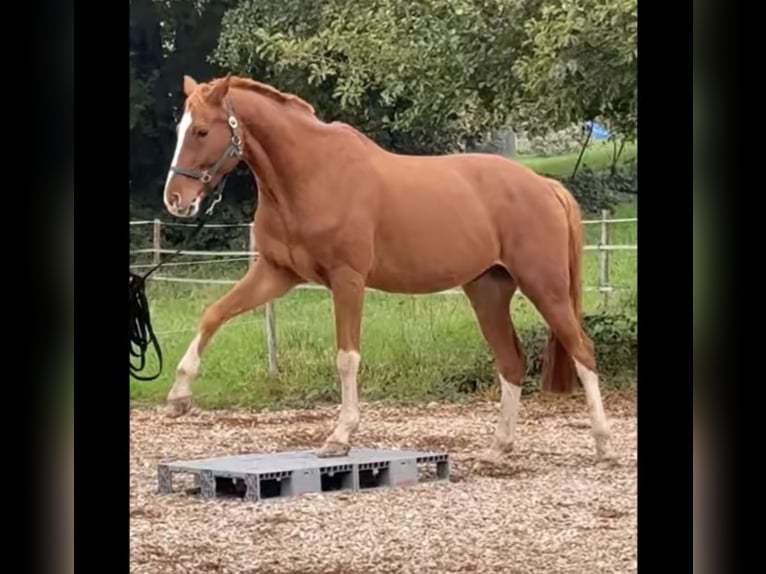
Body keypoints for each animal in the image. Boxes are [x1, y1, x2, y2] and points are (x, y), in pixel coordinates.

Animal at [160, 73, 614, 464]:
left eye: (202, 131)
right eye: (181, 129)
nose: (176, 199)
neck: (312, 173)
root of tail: (546, 186)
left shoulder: (347, 279)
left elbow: (346, 357)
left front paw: (340, 437)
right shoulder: (275, 273)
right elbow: (214, 314)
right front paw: (179, 396)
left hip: (544, 286)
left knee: (583, 351)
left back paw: (604, 444)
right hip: (488, 291)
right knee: (512, 362)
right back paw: (498, 448)